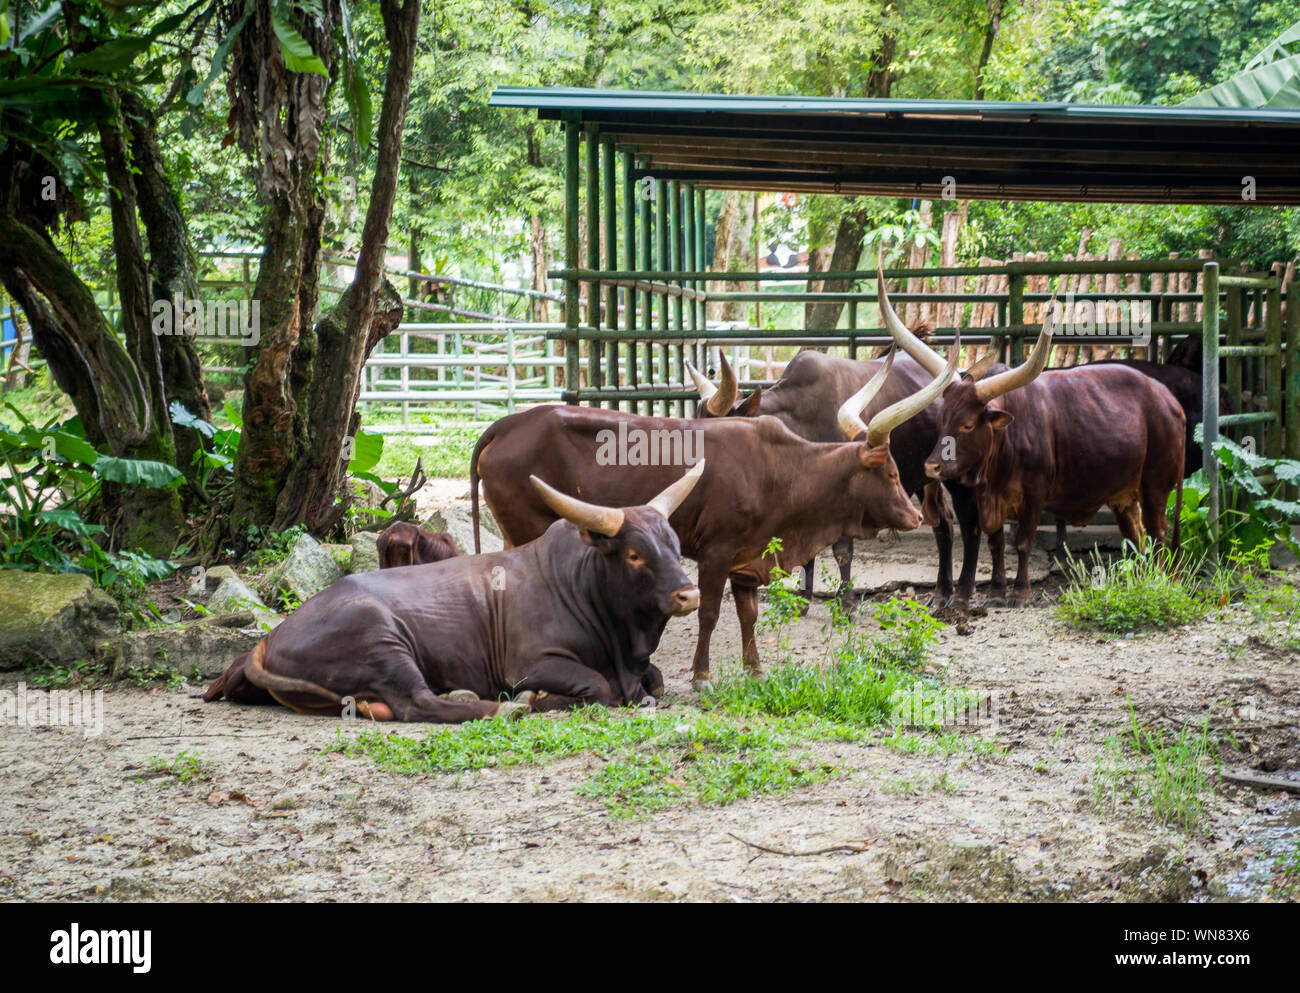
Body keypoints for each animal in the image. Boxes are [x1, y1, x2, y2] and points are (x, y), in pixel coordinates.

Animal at [203, 467, 706, 722]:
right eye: (635, 555)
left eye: (674, 545)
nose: (689, 595)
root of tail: (270, 638)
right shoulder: (530, 664)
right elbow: (599, 687)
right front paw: (537, 699)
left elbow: (656, 679)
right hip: (381, 640)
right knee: (417, 703)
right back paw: (499, 706)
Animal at [470, 346, 958, 687]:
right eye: (890, 472)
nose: (914, 517)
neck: (780, 467)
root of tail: (507, 425)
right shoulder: (715, 552)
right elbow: (707, 612)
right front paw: (702, 676)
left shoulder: (747, 557)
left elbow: (748, 615)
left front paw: (754, 668)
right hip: (525, 533)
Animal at [686, 274, 996, 608]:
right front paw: (804, 597)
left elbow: (842, 549)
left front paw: (846, 602)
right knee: (942, 522)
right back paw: (941, 591)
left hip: (950, 475)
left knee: (960, 523)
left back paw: (955, 593)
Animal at [910, 307, 1185, 605]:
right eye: (941, 419)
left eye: (968, 425)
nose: (932, 466)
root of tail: (1170, 401)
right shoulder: (989, 498)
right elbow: (996, 543)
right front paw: (996, 591)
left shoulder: (1035, 494)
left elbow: (1022, 541)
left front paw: (1020, 592)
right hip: (1123, 496)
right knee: (1137, 535)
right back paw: (1140, 581)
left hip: (1155, 486)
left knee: (1158, 532)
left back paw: (1161, 581)